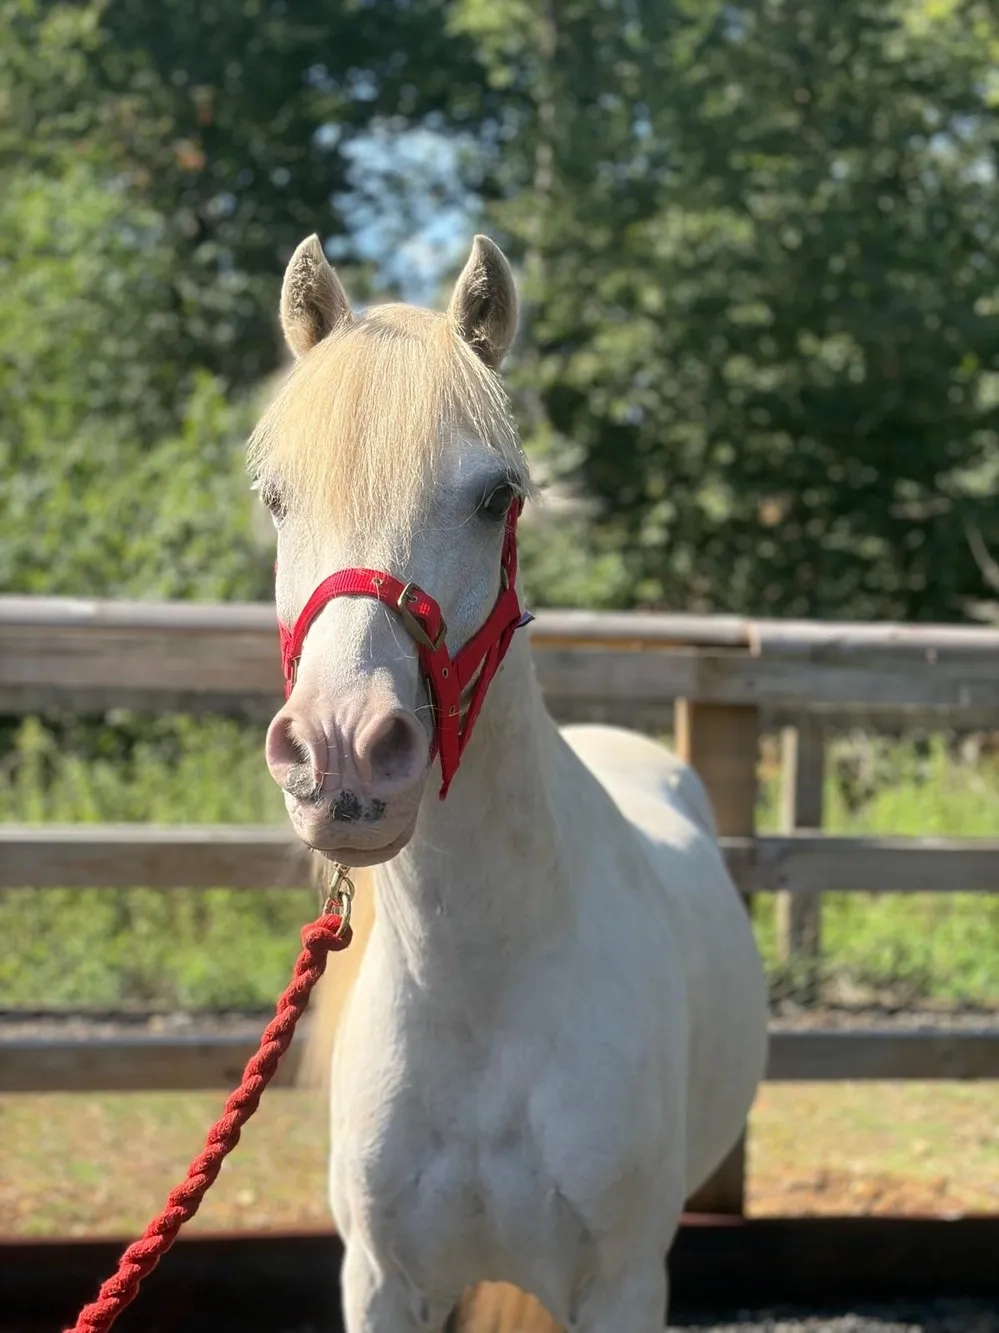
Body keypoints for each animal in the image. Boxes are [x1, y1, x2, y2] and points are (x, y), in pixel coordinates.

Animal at [250, 232, 768, 1333]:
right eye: (276, 497)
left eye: (497, 497)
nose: (343, 753)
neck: (481, 998)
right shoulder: (383, 1282)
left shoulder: (621, 1287)